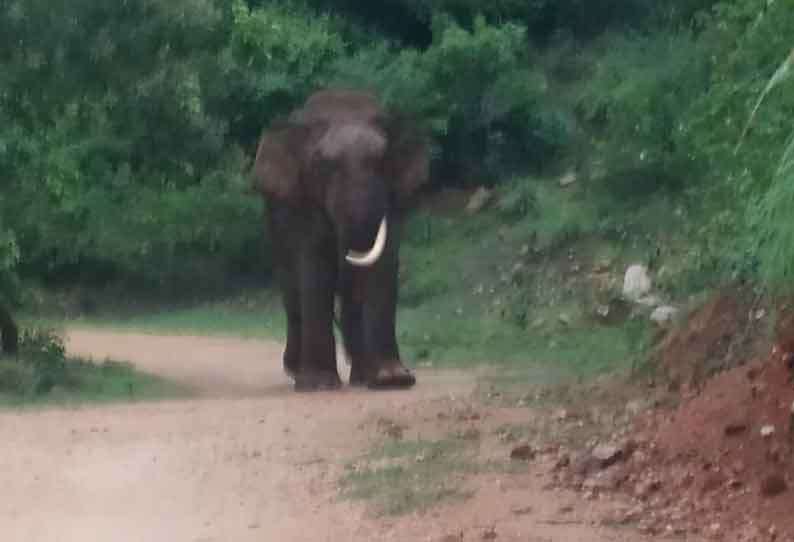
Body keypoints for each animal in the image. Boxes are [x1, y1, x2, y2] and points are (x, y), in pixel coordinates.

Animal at [252, 89, 426, 392]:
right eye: (323, 166)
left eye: (381, 161)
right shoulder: (302, 202)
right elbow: (314, 266)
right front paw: (318, 384)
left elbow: (383, 264)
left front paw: (393, 379)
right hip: (273, 221)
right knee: (291, 288)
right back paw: (297, 372)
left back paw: (362, 377)